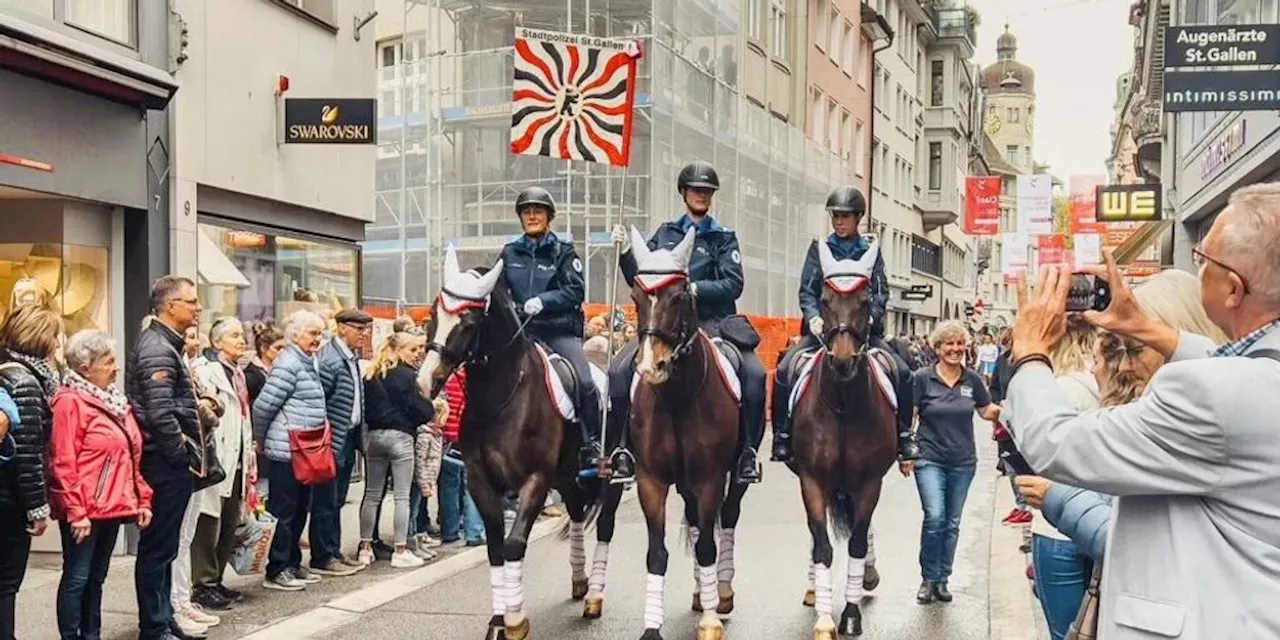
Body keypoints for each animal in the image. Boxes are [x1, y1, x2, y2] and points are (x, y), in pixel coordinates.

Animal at [788, 240, 901, 640]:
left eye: (866, 300)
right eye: (824, 299)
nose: (842, 361)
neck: (841, 405)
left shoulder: (868, 483)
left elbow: (856, 541)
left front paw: (851, 614)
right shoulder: (812, 480)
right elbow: (822, 546)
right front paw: (824, 620)